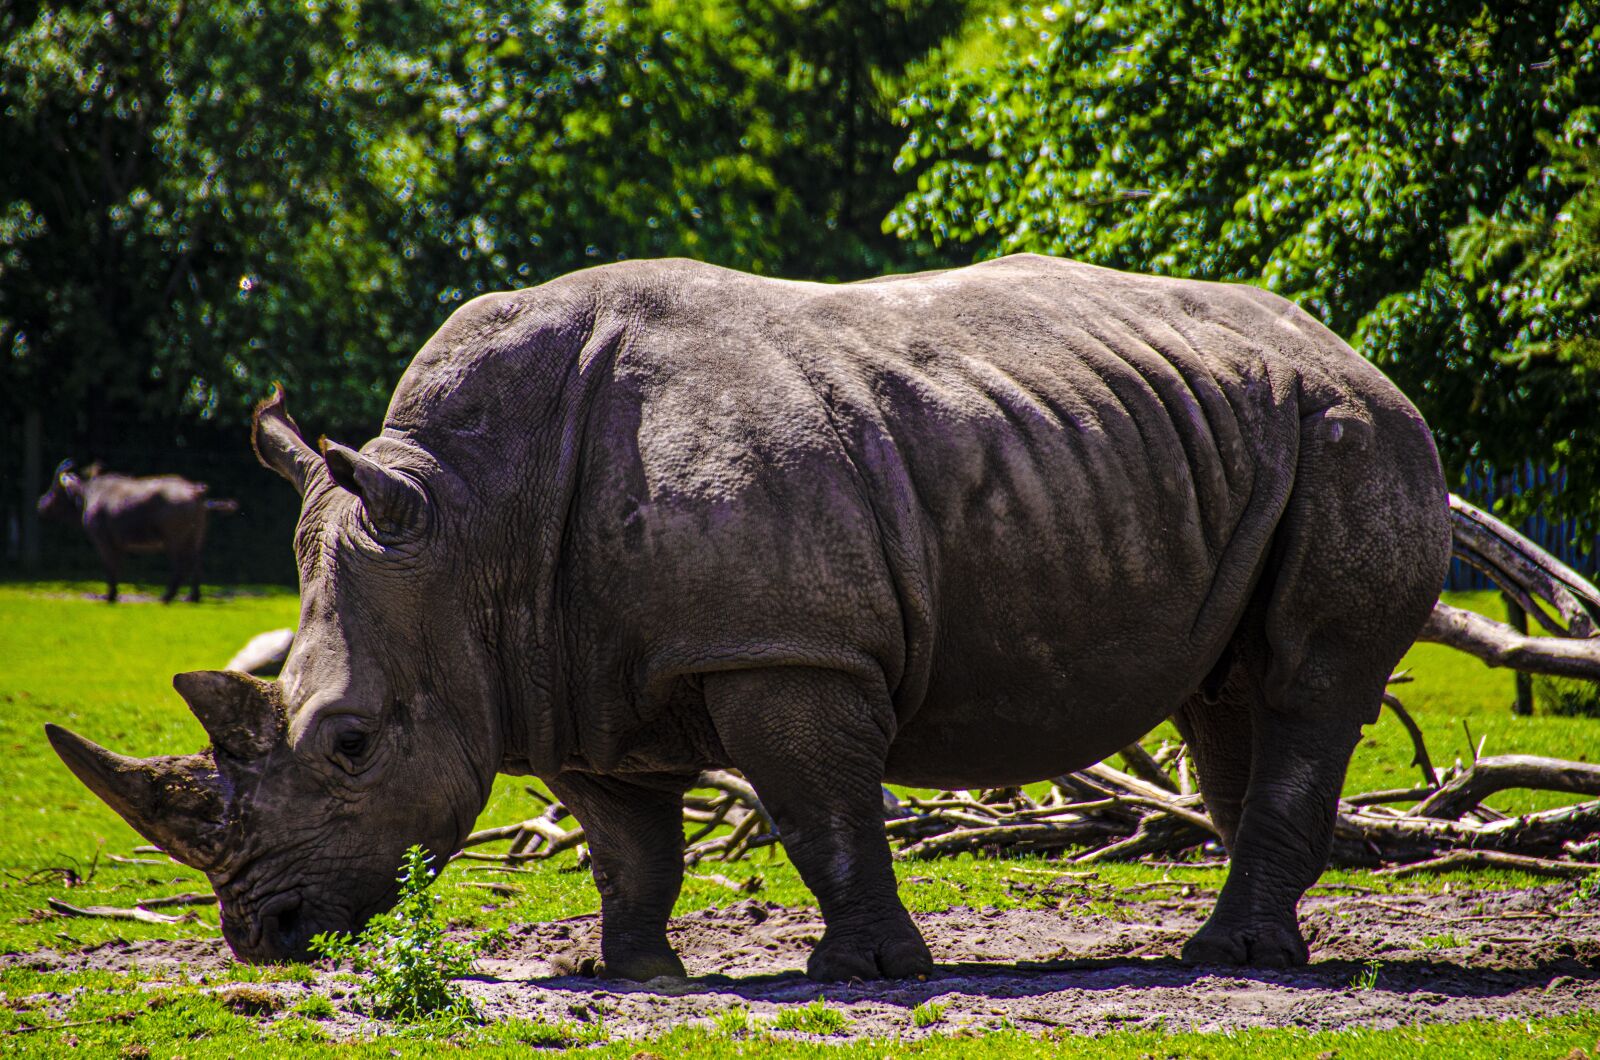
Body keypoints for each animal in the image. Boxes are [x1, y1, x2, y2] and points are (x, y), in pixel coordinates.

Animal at [46, 255, 1450, 980]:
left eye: (347, 744)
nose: (263, 938)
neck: (467, 516)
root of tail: (1357, 350)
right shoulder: (558, 667)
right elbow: (628, 842)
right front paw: (628, 974)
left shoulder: (784, 645)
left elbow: (819, 811)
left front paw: (866, 975)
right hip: (1234, 435)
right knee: (1229, 691)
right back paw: (1239, 952)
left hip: (1355, 435)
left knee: (1310, 676)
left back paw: (1240, 960)